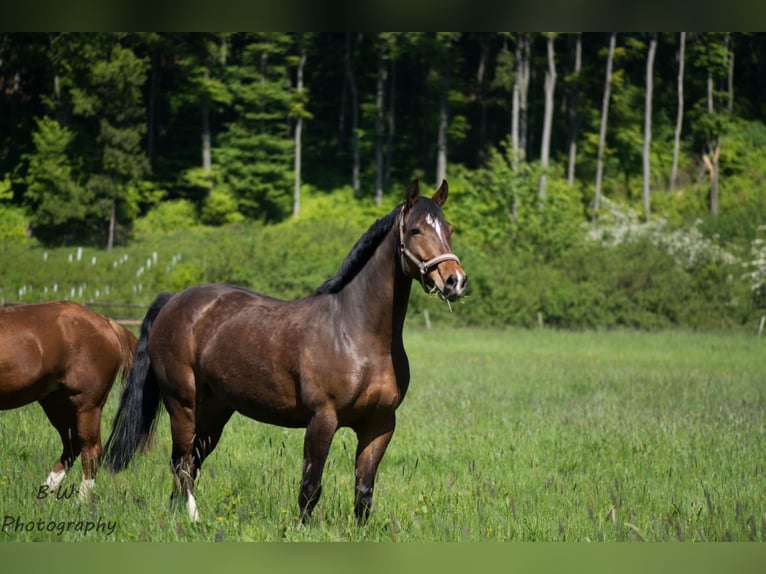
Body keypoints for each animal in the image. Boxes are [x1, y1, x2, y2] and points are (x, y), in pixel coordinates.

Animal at [0, 300, 136, 499]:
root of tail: (107, 323)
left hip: (87, 406)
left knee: (91, 450)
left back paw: (82, 501)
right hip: (57, 404)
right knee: (73, 447)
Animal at [104, 179, 467, 523]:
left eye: (449, 229)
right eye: (416, 230)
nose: (455, 281)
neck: (357, 334)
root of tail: (173, 301)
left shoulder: (379, 424)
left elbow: (363, 493)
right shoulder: (322, 419)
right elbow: (310, 487)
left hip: (215, 409)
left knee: (191, 462)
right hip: (183, 405)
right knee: (181, 462)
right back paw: (193, 518)